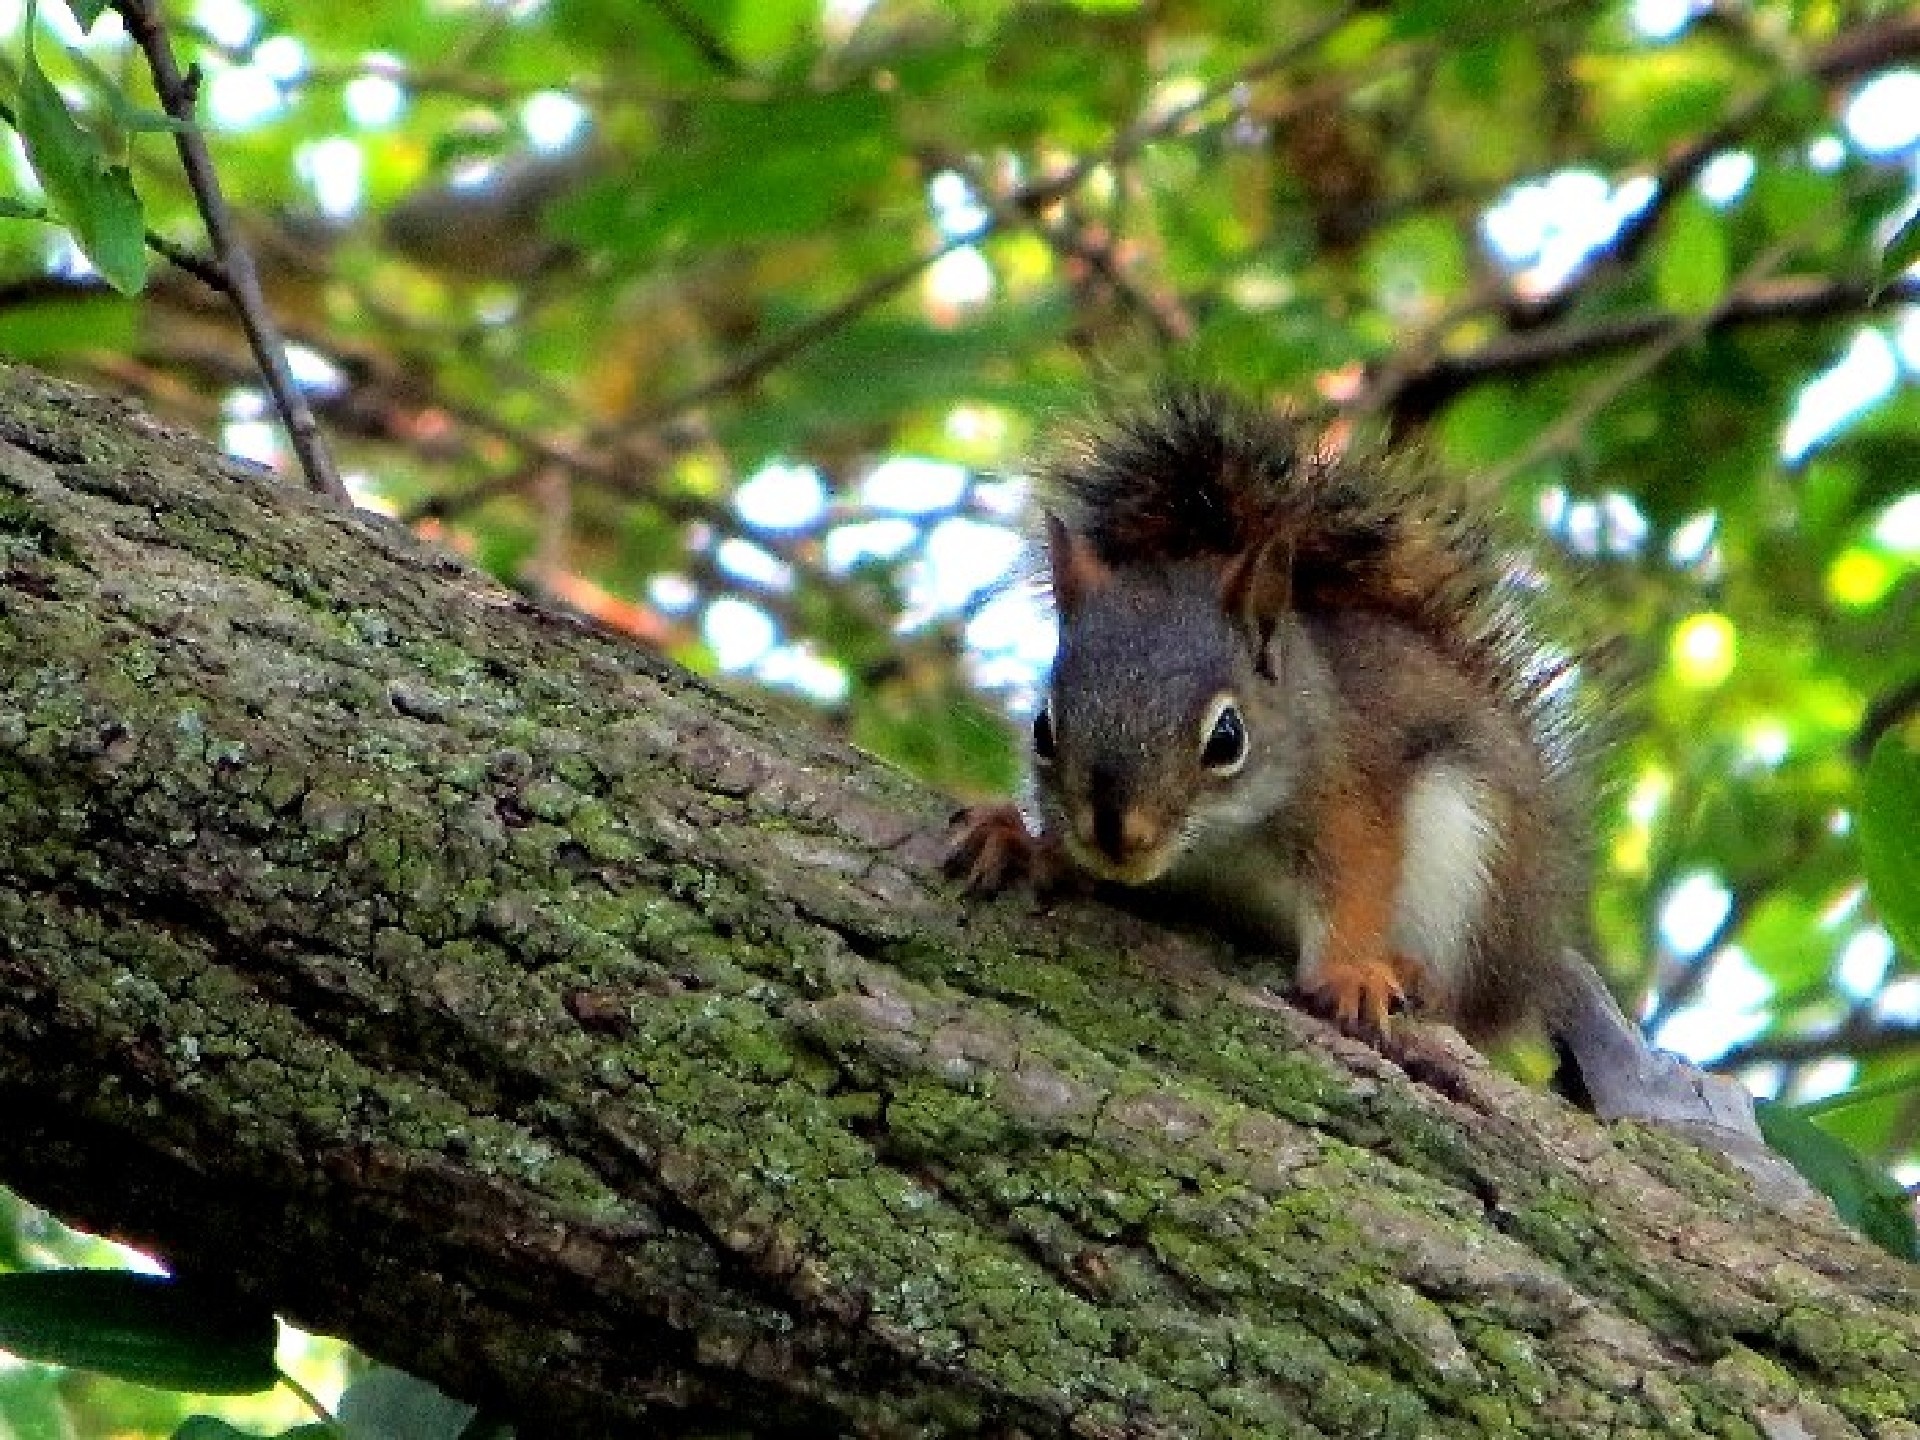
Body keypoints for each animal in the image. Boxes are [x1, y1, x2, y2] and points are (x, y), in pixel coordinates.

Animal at [944, 385, 1589, 1052]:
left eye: (1227, 738)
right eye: (1042, 730)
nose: (1118, 838)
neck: (1217, 843)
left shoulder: (1347, 797)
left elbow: (1357, 883)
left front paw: (1352, 974)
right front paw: (1019, 840)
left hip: (1476, 854)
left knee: (1463, 1006)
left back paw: (1416, 975)